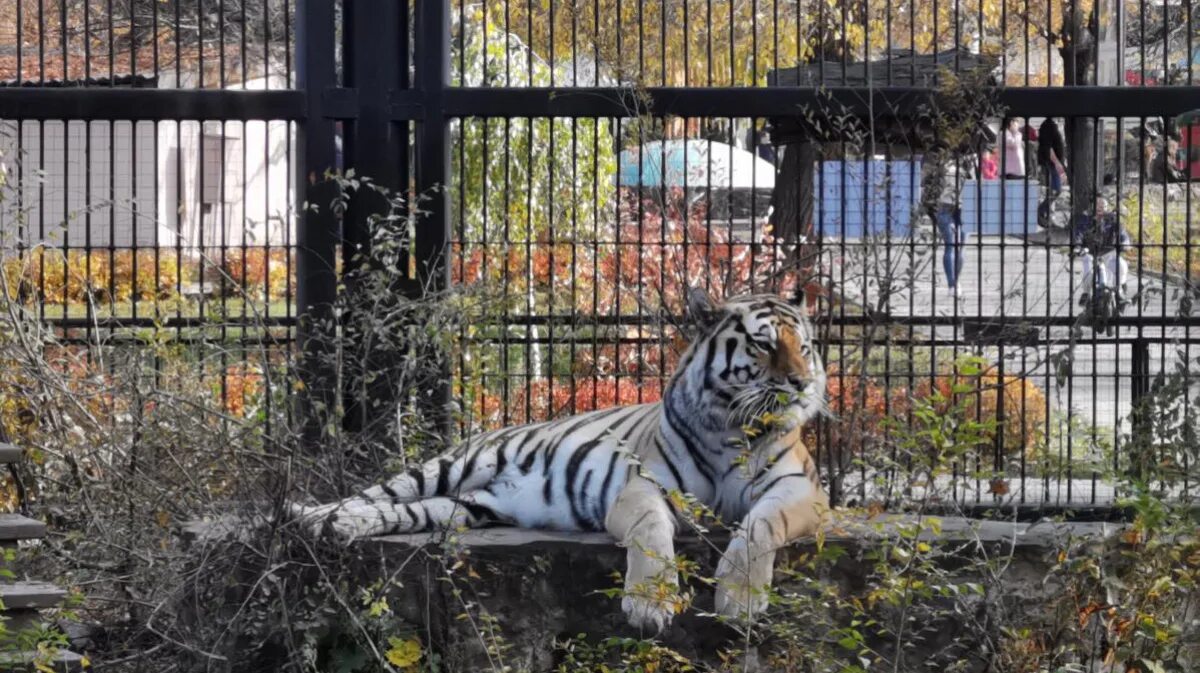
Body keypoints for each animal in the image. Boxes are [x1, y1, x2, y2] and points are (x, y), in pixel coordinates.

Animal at [295, 290, 830, 628]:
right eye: (763, 344)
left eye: (805, 346)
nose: (803, 384)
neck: (731, 427)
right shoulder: (642, 487)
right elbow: (652, 532)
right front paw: (648, 606)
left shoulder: (802, 490)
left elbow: (759, 527)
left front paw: (739, 600)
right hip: (447, 468)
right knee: (372, 494)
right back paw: (308, 515)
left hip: (465, 507)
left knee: (395, 512)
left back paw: (333, 526)